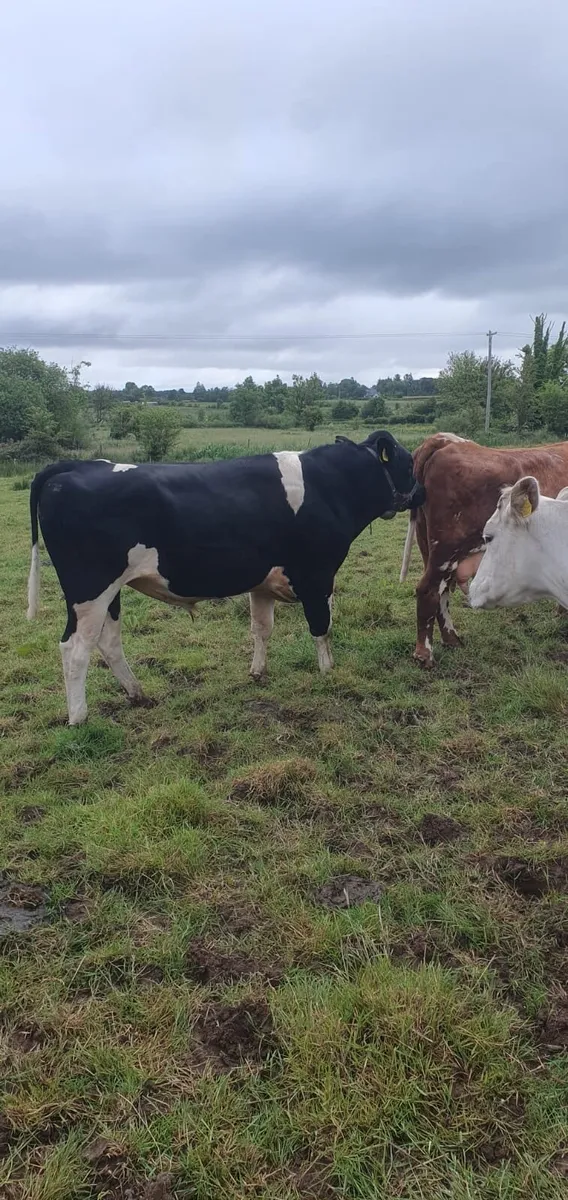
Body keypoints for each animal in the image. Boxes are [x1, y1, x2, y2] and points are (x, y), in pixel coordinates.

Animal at [26, 432, 424, 725]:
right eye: (410, 462)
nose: (422, 493)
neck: (331, 486)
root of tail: (77, 466)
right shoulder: (318, 575)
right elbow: (321, 628)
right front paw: (329, 674)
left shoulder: (263, 581)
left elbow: (261, 628)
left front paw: (258, 673)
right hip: (90, 590)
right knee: (76, 649)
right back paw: (79, 718)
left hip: (110, 593)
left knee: (108, 643)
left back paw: (137, 694)